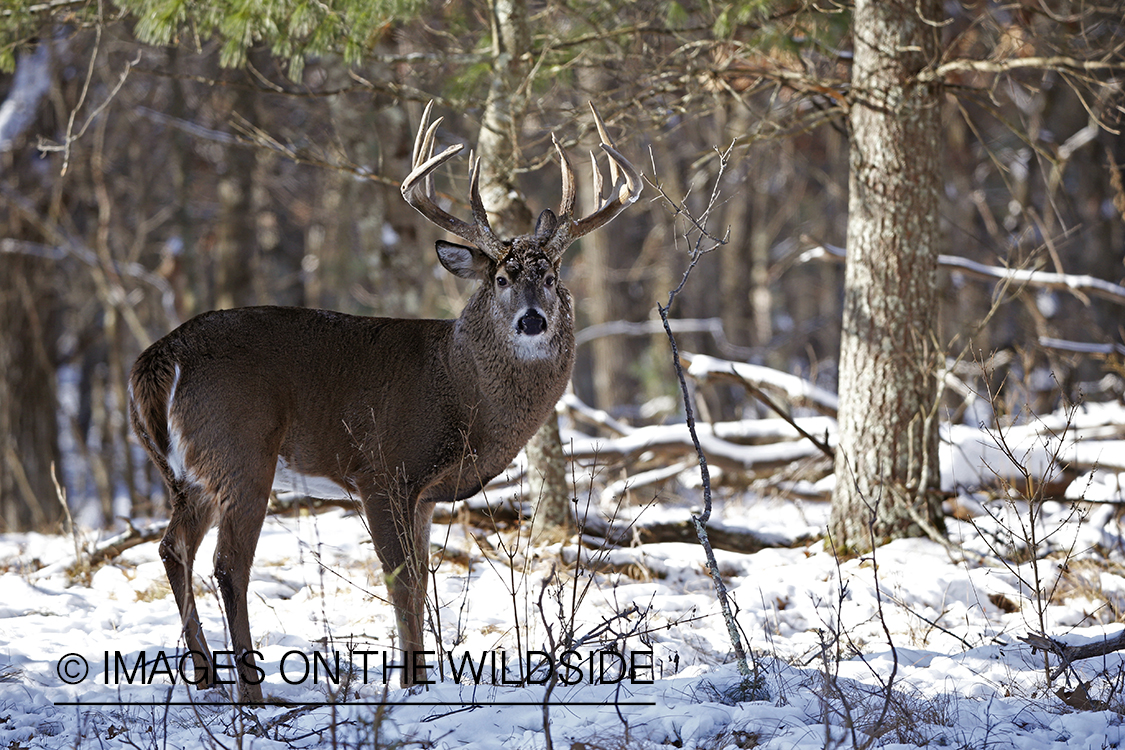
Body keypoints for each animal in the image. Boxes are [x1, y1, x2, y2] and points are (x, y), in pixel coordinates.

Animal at [129, 101, 643, 706]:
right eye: (501, 277)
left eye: (552, 273)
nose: (533, 319)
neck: (459, 383)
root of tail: (160, 357)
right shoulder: (381, 470)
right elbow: (402, 579)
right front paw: (412, 684)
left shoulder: (422, 494)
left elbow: (421, 580)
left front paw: (418, 678)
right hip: (240, 451)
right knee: (228, 564)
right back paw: (253, 695)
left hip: (190, 472)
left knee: (173, 549)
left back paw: (208, 676)